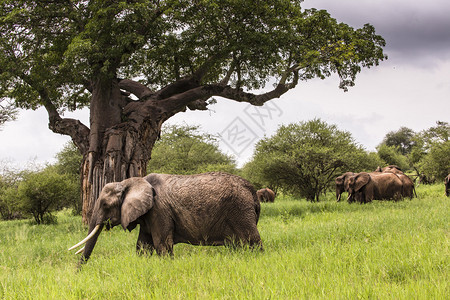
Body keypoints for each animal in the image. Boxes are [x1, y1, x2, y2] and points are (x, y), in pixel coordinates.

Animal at [68, 171, 262, 264]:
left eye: (105, 205)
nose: (78, 272)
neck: (131, 181)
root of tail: (252, 190)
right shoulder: (148, 215)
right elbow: (143, 247)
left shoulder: (159, 210)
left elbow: (162, 245)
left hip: (240, 210)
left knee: (252, 241)